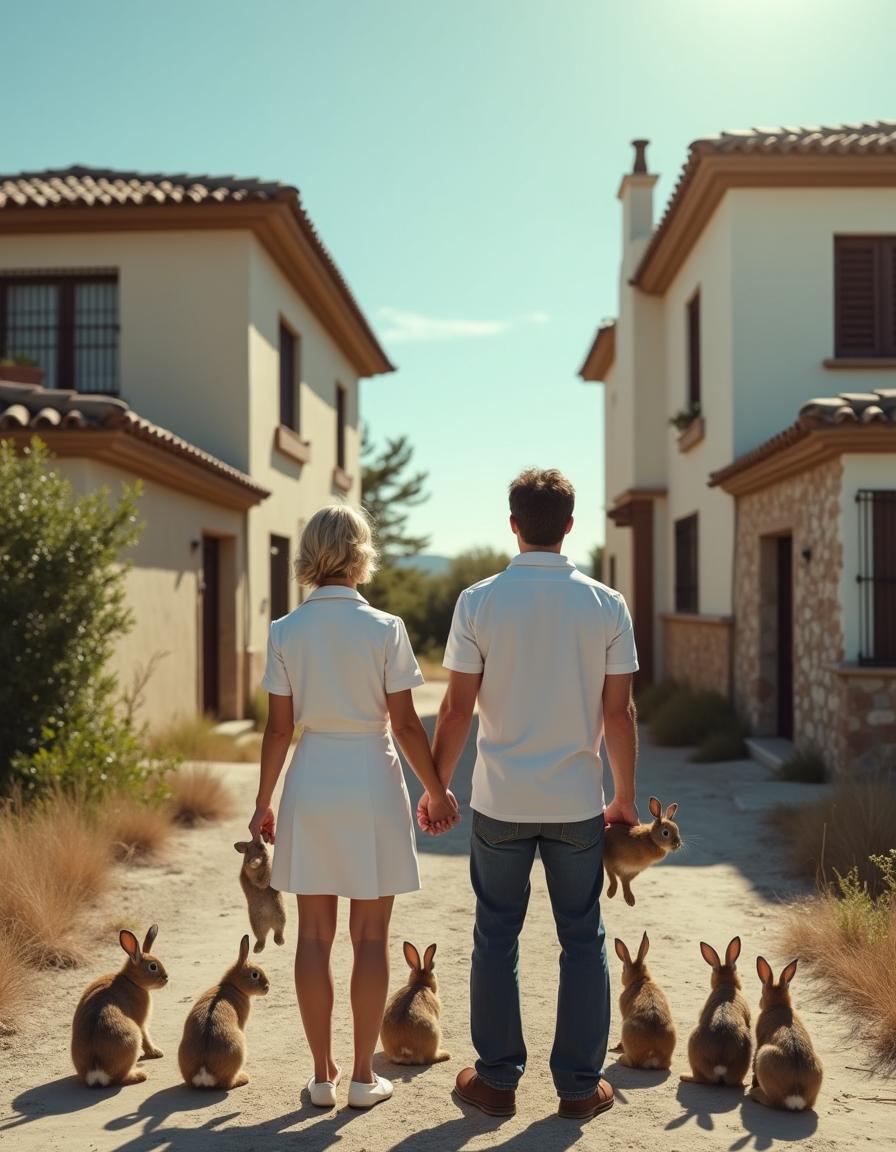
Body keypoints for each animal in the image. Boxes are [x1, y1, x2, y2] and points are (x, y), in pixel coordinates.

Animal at [71, 921, 168, 1082]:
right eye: (153, 966)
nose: (166, 978)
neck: (132, 980)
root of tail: (97, 1072)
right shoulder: (141, 1023)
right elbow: (146, 1039)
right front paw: (156, 1053)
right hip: (133, 1038)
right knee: (120, 1077)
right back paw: (140, 1074)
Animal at [178, 930, 268, 1082]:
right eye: (255, 975)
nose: (267, 987)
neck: (234, 986)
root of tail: (204, 1071)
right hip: (239, 1048)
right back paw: (243, 1078)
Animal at [746, 953, 824, 1105]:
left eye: (762, 993)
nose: (760, 1002)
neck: (778, 1005)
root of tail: (795, 1096)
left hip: (763, 1056)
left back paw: (754, 1093)